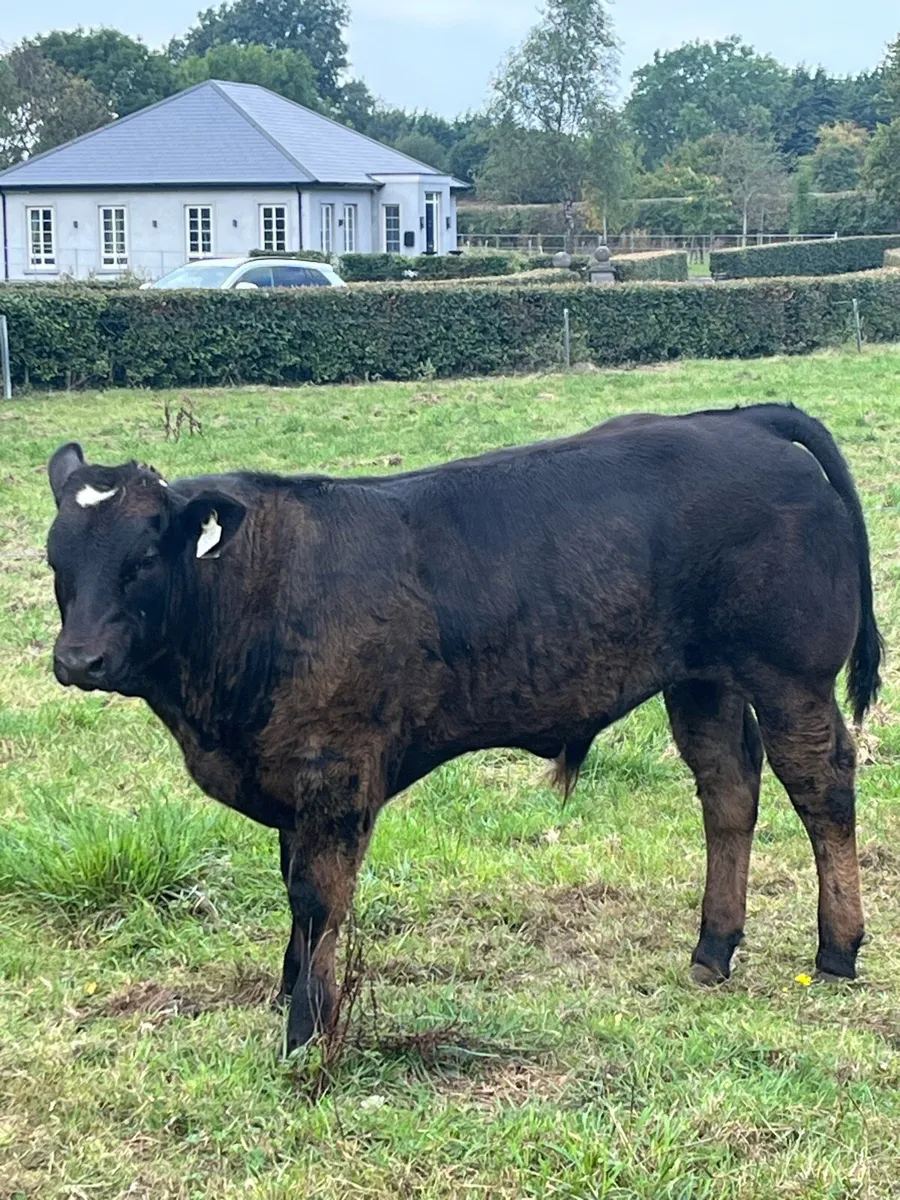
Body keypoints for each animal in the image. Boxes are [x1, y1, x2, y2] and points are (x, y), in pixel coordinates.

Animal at [45, 402, 882, 1052]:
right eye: (58, 560)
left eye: (144, 557)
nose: (79, 658)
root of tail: (741, 422)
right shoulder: (289, 773)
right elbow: (292, 892)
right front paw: (289, 992)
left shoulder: (336, 774)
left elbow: (317, 901)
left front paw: (308, 1033)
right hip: (702, 680)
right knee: (728, 791)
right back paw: (713, 945)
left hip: (789, 676)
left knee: (822, 787)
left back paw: (837, 948)